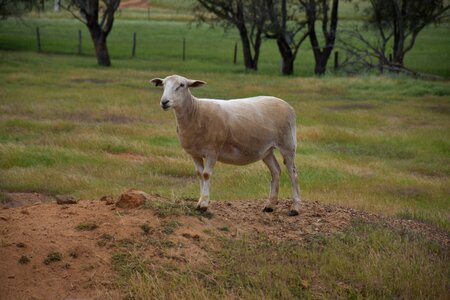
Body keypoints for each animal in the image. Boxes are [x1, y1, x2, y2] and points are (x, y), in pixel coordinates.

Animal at [149, 74, 300, 216]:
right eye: (163, 84)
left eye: (182, 85)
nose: (164, 102)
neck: (195, 112)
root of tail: (288, 105)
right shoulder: (195, 153)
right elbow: (199, 174)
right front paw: (199, 202)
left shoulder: (212, 151)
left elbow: (206, 175)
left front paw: (204, 204)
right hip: (266, 150)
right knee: (276, 171)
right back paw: (270, 205)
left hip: (288, 143)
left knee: (293, 173)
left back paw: (295, 208)